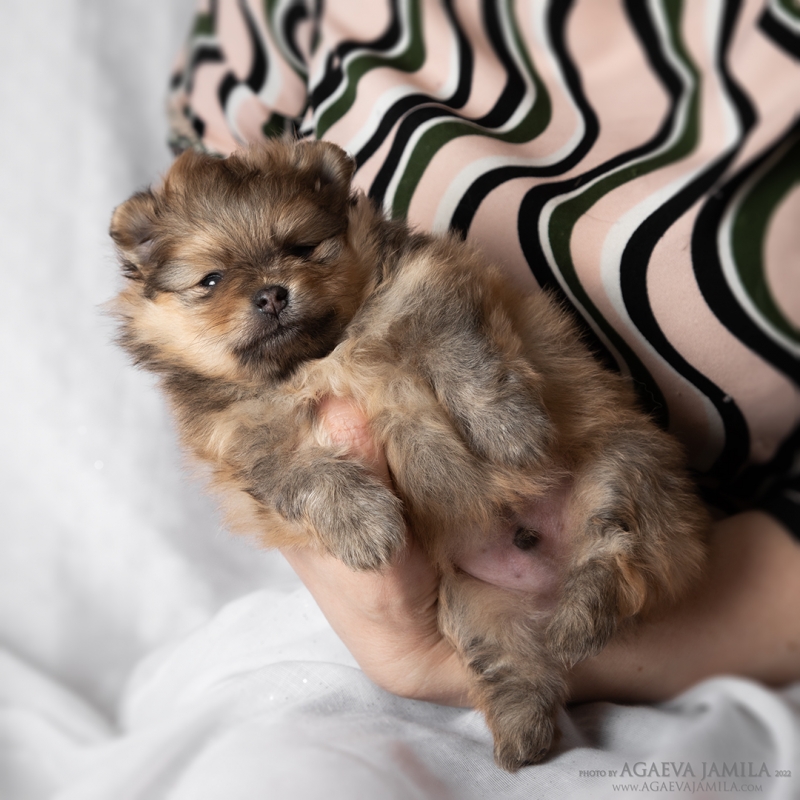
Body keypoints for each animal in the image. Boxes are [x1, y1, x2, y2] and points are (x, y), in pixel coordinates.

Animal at [109, 138, 707, 771]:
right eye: (211, 279)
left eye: (301, 247)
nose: (271, 293)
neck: (320, 358)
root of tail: (549, 585)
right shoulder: (244, 438)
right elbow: (303, 475)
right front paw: (364, 526)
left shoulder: (430, 293)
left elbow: (463, 357)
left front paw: (509, 429)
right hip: (475, 605)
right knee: (509, 662)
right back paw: (525, 728)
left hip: (623, 467)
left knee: (614, 550)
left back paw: (578, 618)